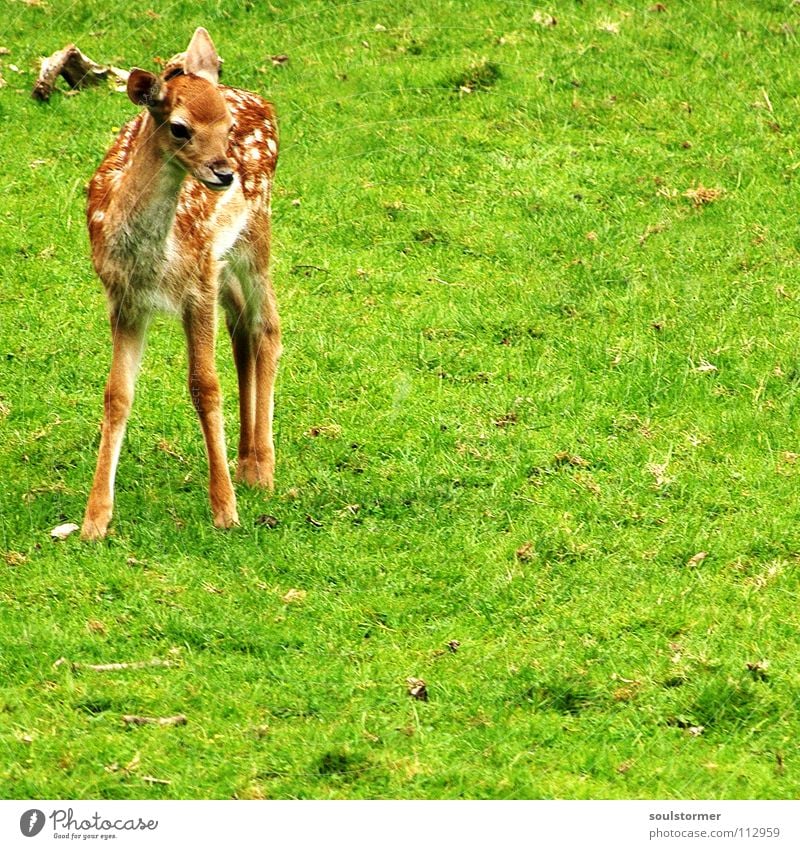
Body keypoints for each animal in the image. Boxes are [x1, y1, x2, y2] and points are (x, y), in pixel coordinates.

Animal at [82, 29, 282, 540]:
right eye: (179, 127)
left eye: (226, 126)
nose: (224, 173)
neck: (153, 261)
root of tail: (260, 99)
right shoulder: (125, 301)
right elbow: (116, 395)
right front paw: (95, 519)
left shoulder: (196, 289)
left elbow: (204, 386)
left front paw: (225, 510)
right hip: (222, 262)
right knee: (241, 326)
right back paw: (246, 462)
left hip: (255, 232)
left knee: (267, 327)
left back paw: (263, 469)